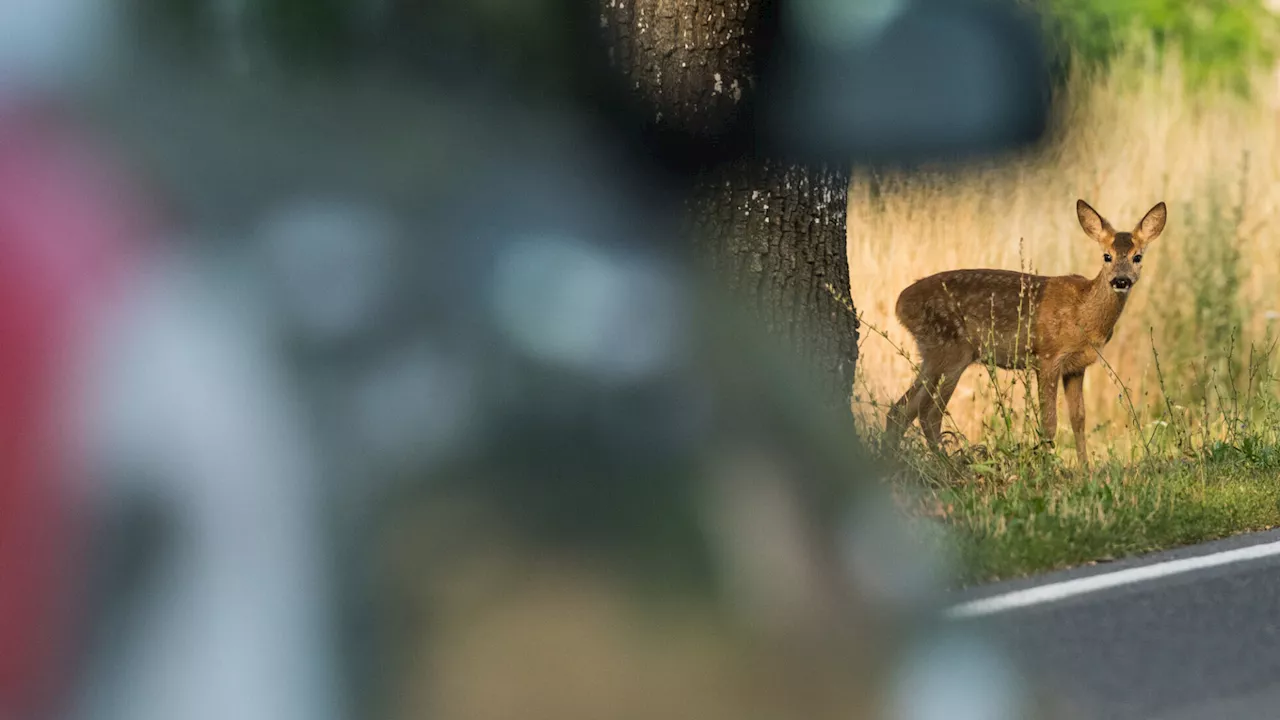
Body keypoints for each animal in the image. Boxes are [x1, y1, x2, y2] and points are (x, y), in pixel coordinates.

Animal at [885, 198, 1167, 466]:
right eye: (1107, 256)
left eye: (1138, 257)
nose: (1121, 280)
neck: (1084, 314)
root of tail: (901, 304)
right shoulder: (1048, 357)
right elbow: (1049, 424)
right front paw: (1048, 470)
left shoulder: (1076, 366)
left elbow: (1078, 420)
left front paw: (1085, 472)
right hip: (951, 350)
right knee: (928, 413)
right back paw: (948, 465)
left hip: (931, 354)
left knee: (901, 410)